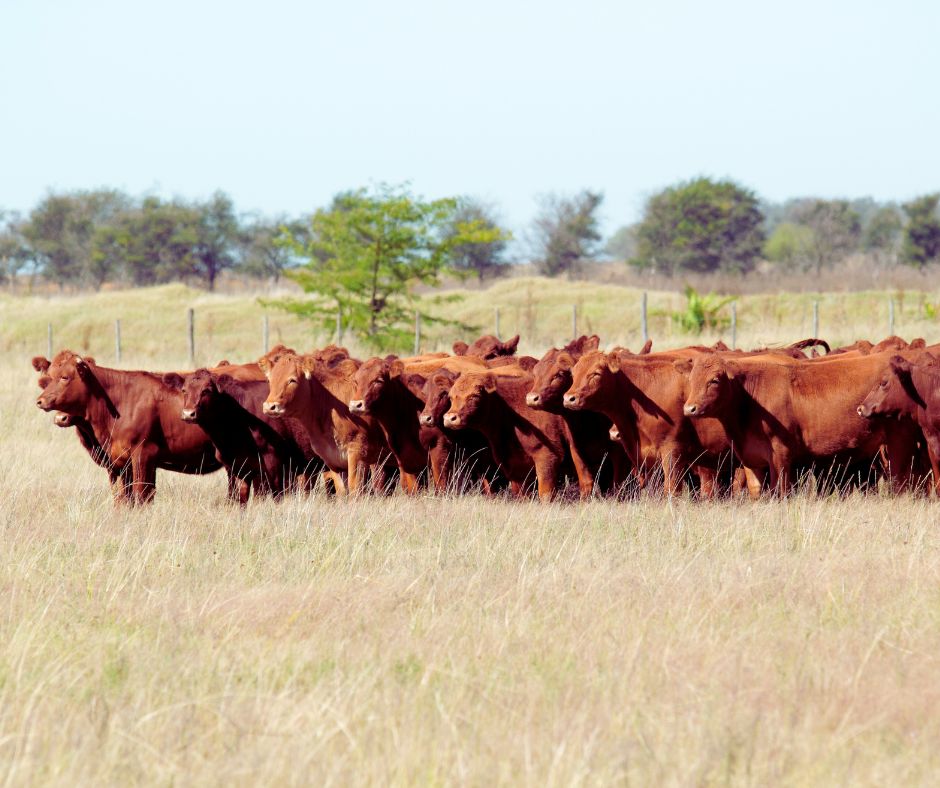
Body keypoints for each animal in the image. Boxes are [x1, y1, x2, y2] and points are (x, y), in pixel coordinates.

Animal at [33, 351, 224, 504]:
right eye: (44, 382)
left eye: (65, 377)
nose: (40, 401)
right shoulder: (119, 463)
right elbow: (123, 498)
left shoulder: (143, 454)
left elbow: (141, 496)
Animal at [678, 351, 924, 496]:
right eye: (691, 380)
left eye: (714, 380)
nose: (689, 409)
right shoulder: (751, 459)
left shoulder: (781, 455)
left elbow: (781, 491)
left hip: (899, 441)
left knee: (901, 479)